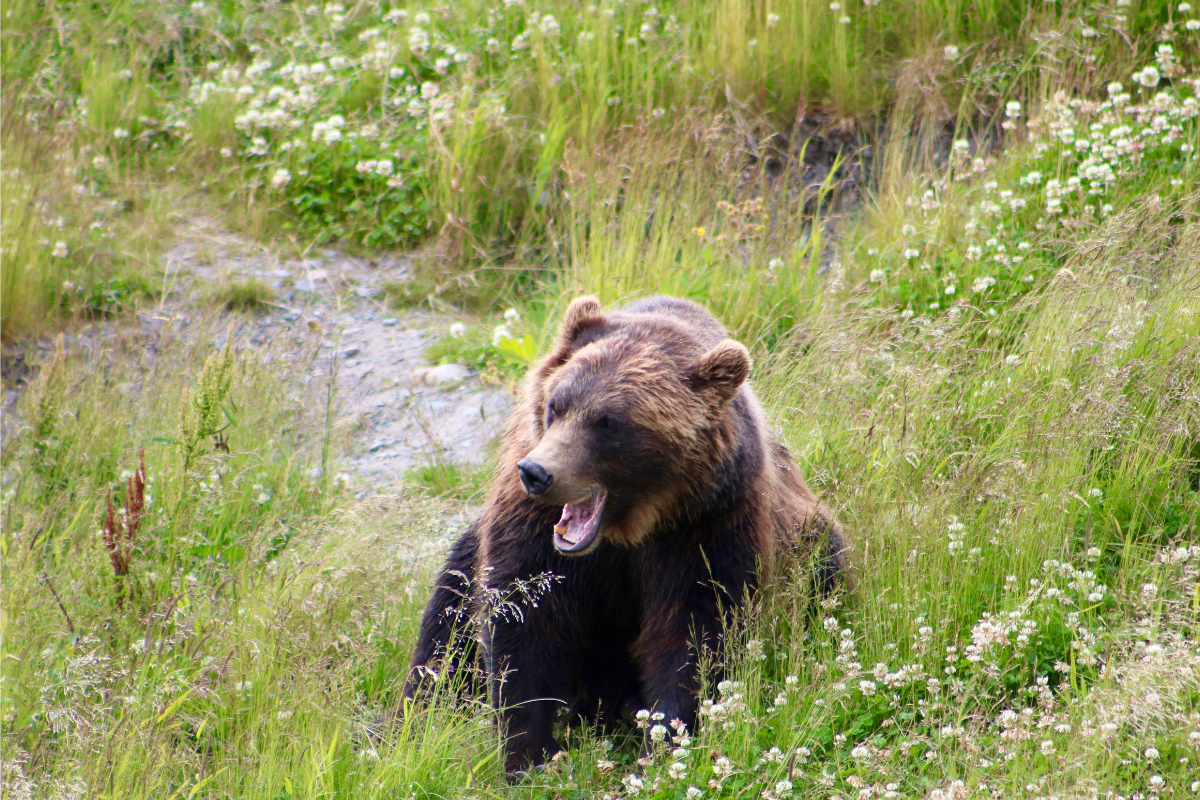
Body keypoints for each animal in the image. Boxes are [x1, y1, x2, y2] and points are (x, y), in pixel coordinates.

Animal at [403, 297, 844, 772]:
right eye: (557, 405)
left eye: (608, 422)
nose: (537, 472)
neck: (626, 529)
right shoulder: (534, 530)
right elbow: (524, 617)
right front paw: (529, 754)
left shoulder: (707, 526)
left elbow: (694, 632)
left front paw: (662, 744)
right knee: (447, 628)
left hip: (809, 541)